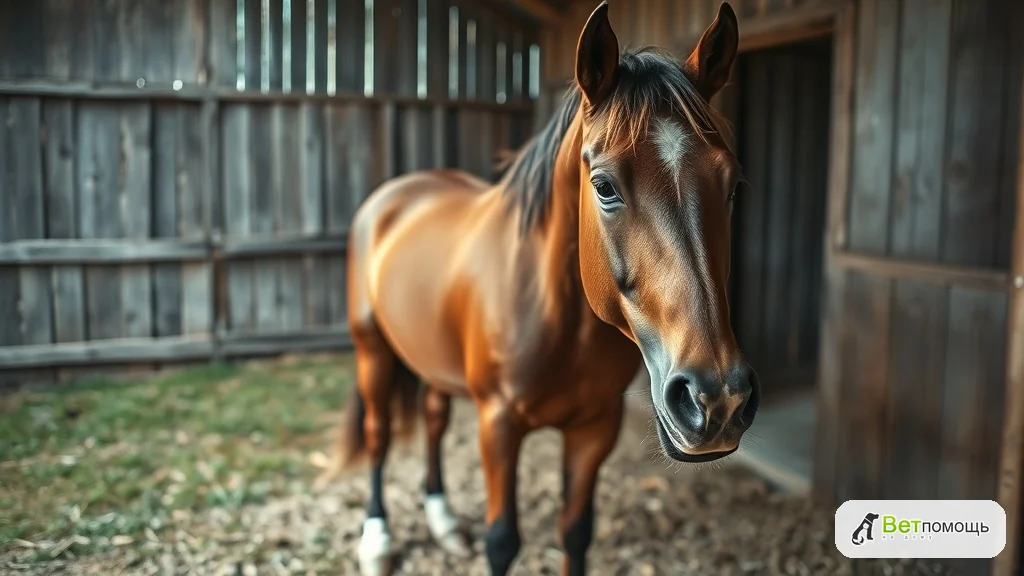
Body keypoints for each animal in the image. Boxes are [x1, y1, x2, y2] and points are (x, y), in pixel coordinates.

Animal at [317, 2, 759, 574]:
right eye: (604, 187)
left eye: (732, 186)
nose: (717, 400)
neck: (556, 315)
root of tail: (394, 194)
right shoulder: (498, 426)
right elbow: (502, 540)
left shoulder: (595, 427)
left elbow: (575, 531)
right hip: (372, 351)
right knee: (378, 434)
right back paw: (377, 538)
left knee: (434, 421)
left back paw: (442, 521)